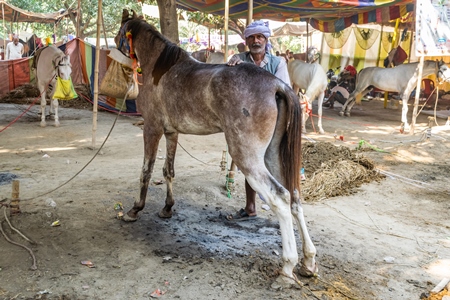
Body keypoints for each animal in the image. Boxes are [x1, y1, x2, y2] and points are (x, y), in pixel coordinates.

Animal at [116, 9, 320, 286]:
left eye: (120, 32)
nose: (115, 47)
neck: (160, 67)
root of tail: (277, 85)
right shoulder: (171, 133)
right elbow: (168, 171)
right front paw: (167, 208)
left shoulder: (152, 129)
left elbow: (146, 171)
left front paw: (135, 209)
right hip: (273, 157)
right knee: (295, 195)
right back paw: (308, 261)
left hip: (248, 158)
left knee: (280, 197)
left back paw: (287, 267)